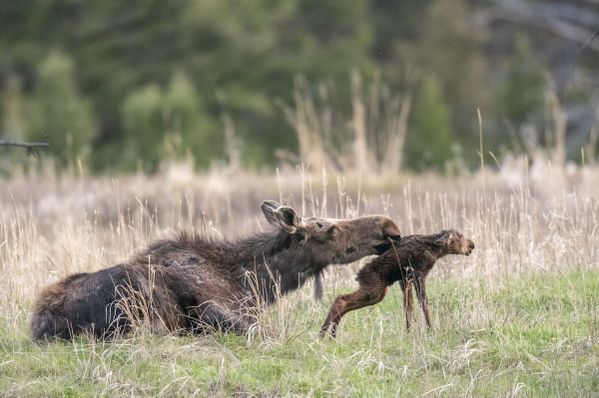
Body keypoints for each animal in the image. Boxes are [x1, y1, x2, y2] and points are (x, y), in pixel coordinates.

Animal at [30, 201, 400, 340]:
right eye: (330, 229)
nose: (390, 227)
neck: (256, 284)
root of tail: (44, 323)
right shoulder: (214, 307)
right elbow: (262, 332)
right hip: (135, 295)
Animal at [322, 229, 476, 338]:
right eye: (460, 236)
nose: (472, 245)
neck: (435, 250)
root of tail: (359, 276)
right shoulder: (418, 273)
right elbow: (423, 303)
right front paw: (430, 330)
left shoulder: (405, 280)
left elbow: (408, 307)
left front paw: (409, 332)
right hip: (373, 291)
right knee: (340, 300)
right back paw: (322, 336)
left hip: (379, 293)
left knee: (343, 304)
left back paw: (331, 336)